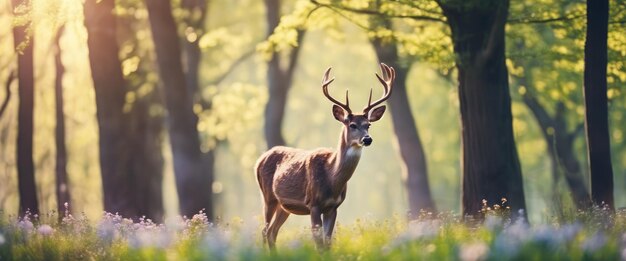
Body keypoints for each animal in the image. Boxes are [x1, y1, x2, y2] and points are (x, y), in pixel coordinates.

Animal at [254, 62, 394, 248]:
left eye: (368, 125)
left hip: (285, 206)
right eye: (352, 125)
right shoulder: (313, 204)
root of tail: (259, 160)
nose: (367, 139)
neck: (331, 177)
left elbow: (327, 243)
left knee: (272, 232)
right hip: (268, 197)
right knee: (264, 230)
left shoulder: (333, 207)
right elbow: (319, 243)